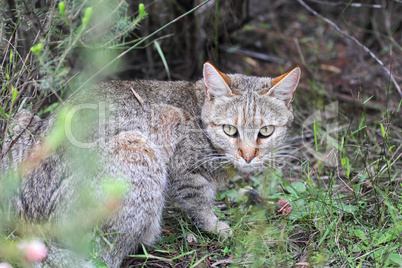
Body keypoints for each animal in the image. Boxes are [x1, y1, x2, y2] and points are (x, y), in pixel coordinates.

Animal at [0, 61, 300, 268]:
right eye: (230, 130)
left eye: (265, 132)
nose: (248, 155)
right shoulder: (183, 165)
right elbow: (200, 201)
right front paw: (215, 226)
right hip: (137, 146)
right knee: (106, 256)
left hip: (20, 119)